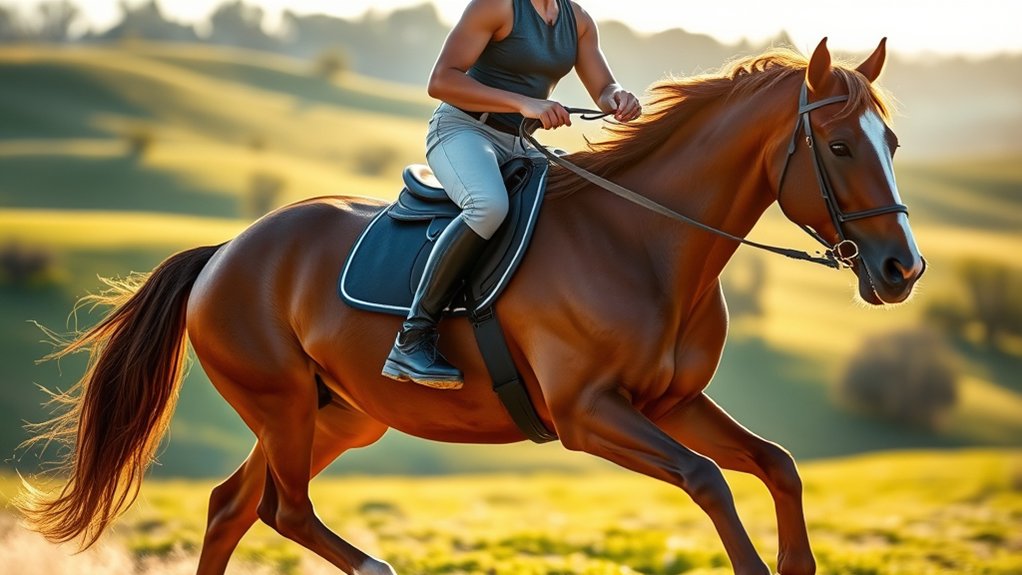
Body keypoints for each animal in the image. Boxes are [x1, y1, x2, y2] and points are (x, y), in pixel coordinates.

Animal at [18, 38, 923, 575]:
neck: (643, 244)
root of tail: (227, 252)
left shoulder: (672, 400)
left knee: (232, 506)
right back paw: (377, 566)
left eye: (891, 142)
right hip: (282, 405)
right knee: (283, 507)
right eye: (840, 145)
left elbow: (776, 463)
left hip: (338, 414)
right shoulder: (588, 413)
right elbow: (709, 480)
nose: (901, 268)